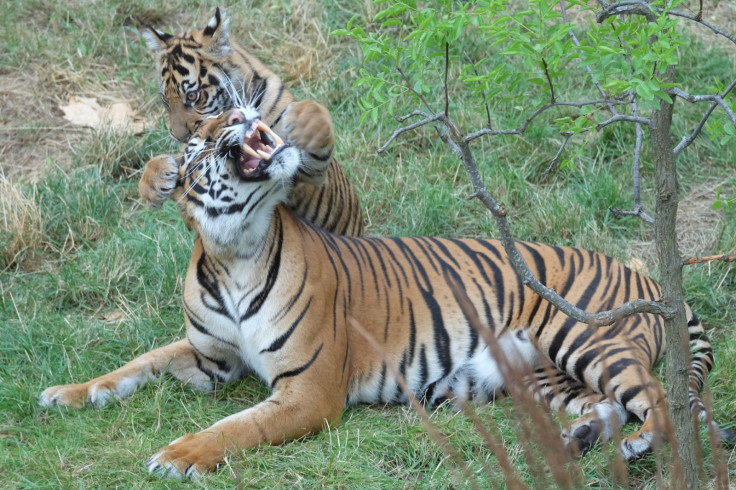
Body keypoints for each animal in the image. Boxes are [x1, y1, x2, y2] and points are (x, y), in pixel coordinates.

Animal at [40, 101, 732, 480]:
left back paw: (639, 446)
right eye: (200, 139)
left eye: (222, 121)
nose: (241, 113)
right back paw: (581, 441)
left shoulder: (307, 391)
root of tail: (651, 276)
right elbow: (139, 363)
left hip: (584, 338)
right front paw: (66, 394)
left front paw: (178, 454)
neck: (235, 250)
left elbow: (236, 427)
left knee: (665, 402)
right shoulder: (212, 360)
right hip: (543, 377)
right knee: (613, 405)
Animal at [140, 7, 362, 237]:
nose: (179, 136)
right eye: (165, 101)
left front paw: (306, 121)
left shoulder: (312, 176)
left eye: (192, 96)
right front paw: (152, 182)